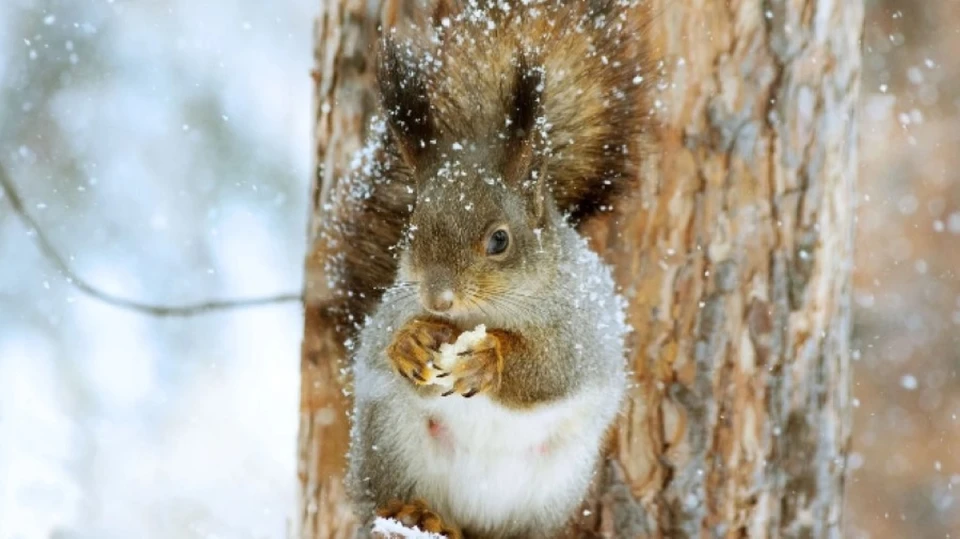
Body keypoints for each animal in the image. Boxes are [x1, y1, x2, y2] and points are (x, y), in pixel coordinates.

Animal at [342, 1, 656, 539]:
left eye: (500, 240)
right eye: (411, 230)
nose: (438, 300)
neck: (479, 315)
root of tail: (473, 517)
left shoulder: (582, 330)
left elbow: (552, 371)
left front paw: (490, 358)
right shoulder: (390, 308)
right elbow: (381, 342)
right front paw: (409, 342)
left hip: (554, 485)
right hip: (389, 441)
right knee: (384, 500)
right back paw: (417, 513)